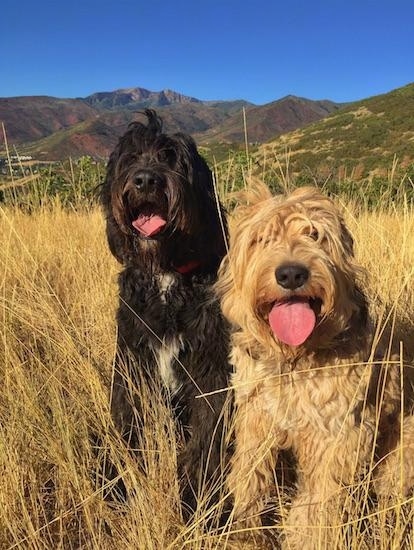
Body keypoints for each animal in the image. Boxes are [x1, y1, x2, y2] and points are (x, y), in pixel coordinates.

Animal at [100, 111, 230, 516]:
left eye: (173, 159)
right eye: (130, 157)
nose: (145, 180)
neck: (167, 275)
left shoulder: (211, 372)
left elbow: (205, 442)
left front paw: (199, 502)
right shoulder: (133, 363)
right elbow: (128, 420)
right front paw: (118, 483)